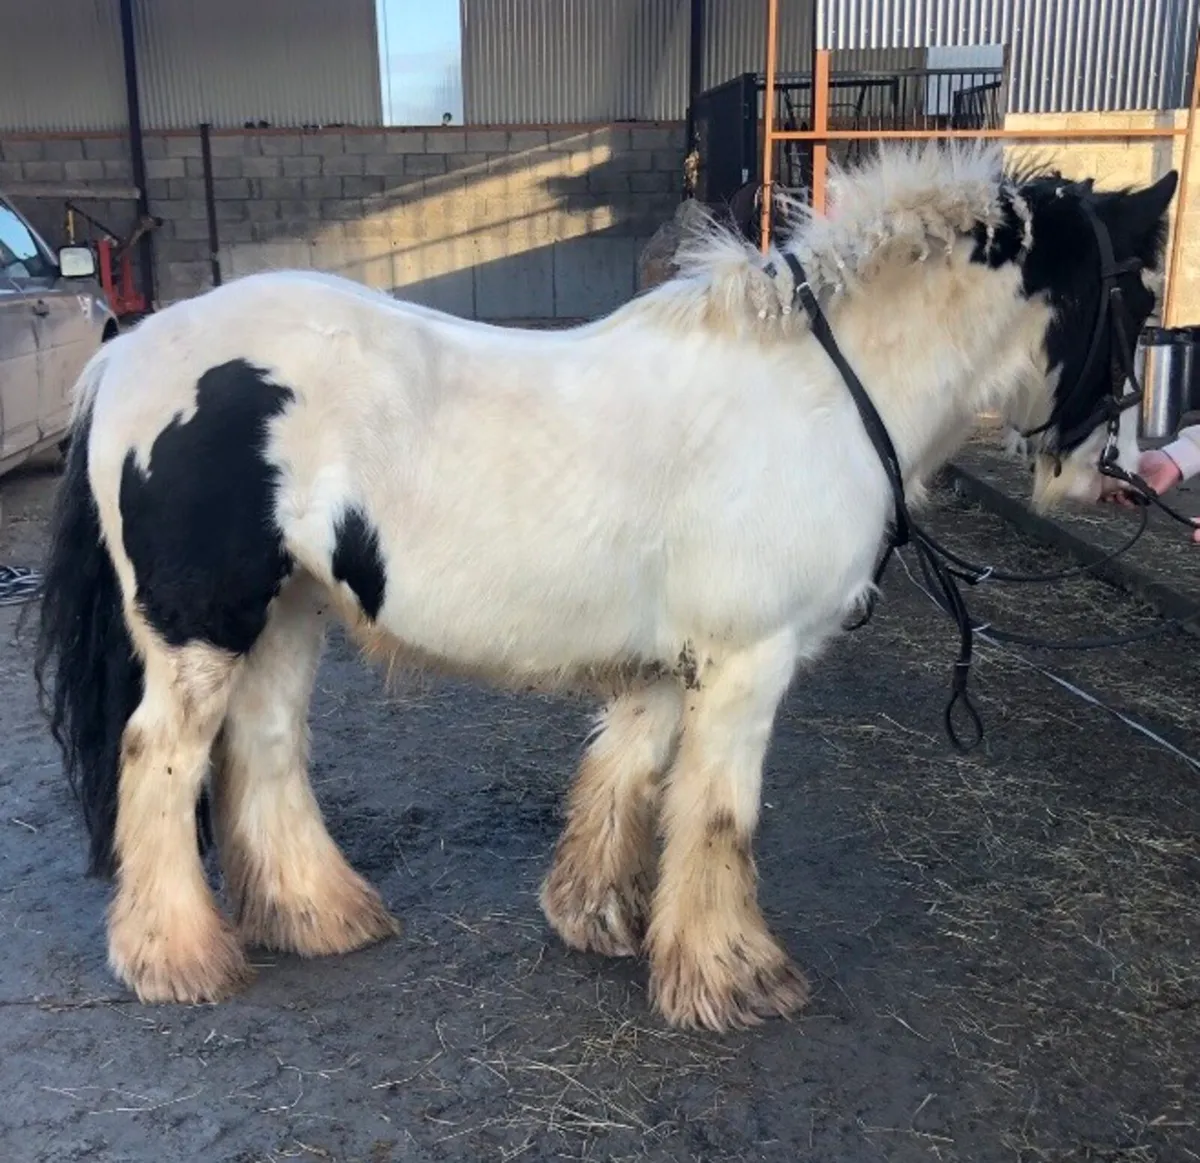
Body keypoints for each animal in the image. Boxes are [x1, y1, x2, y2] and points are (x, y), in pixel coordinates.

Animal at [34, 142, 1177, 1032]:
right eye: (1135, 294)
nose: (1118, 467)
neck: (819, 392)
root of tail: (130, 353)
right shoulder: (749, 661)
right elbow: (719, 814)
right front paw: (733, 976)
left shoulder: (672, 660)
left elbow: (627, 777)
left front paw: (602, 917)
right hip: (203, 627)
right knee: (159, 760)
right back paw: (176, 958)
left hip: (286, 614)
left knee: (264, 749)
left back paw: (320, 915)